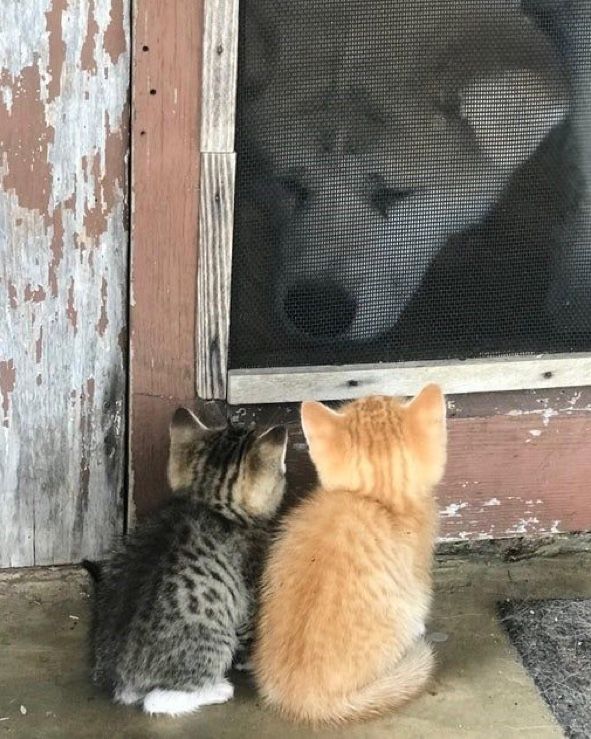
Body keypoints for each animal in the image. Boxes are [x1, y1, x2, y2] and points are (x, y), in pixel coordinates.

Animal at [82, 410, 286, 716]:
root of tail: (122, 678)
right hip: (215, 640)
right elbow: (251, 628)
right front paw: (251, 660)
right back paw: (218, 690)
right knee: (157, 700)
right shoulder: (250, 584)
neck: (210, 503)